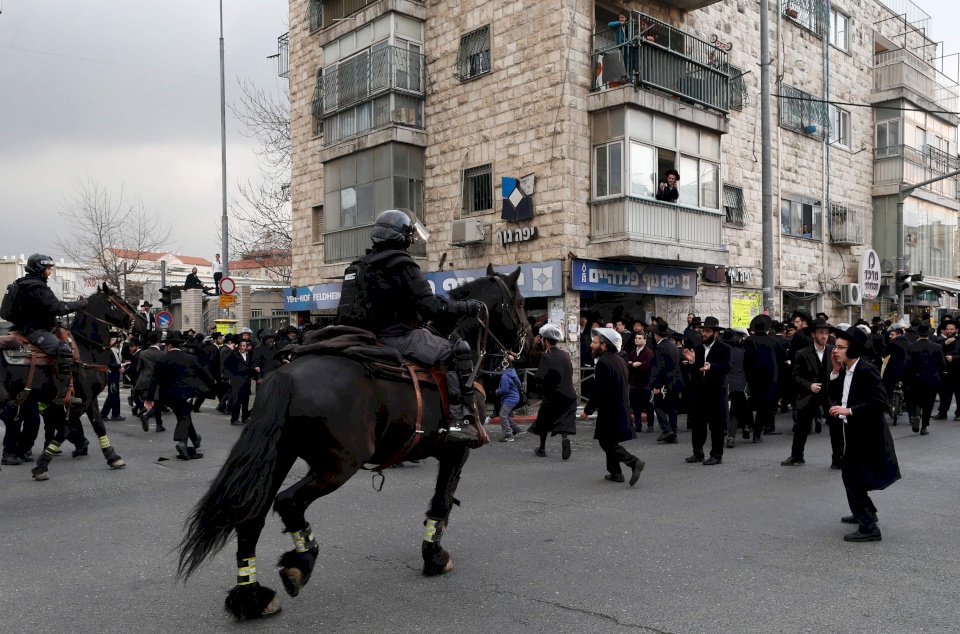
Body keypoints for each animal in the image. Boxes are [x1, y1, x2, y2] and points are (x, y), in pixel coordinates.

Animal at [0, 282, 146, 478]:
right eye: (120, 300)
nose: (143, 322)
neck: (86, 350)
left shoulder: (91, 399)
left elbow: (99, 425)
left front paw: (113, 457)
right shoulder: (80, 401)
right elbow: (65, 428)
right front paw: (42, 465)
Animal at [176, 266, 528, 616]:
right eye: (520, 302)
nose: (524, 340)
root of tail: (286, 375)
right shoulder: (456, 451)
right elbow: (441, 503)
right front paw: (435, 557)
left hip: (281, 455)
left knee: (250, 519)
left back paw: (251, 597)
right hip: (339, 465)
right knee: (289, 503)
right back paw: (300, 563)